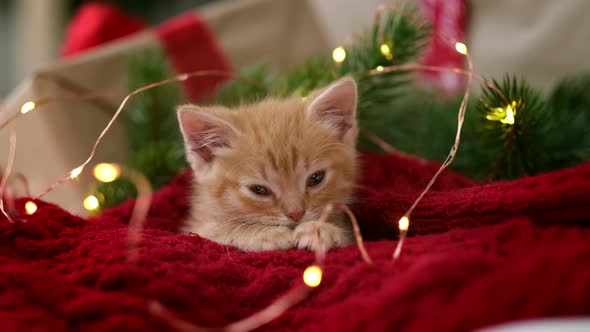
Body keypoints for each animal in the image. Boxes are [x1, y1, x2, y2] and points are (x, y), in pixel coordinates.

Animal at [178, 76, 358, 250]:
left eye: (316, 178)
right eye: (259, 190)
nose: (296, 214)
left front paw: (319, 229)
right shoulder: (197, 227)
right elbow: (217, 229)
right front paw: (266, 234)